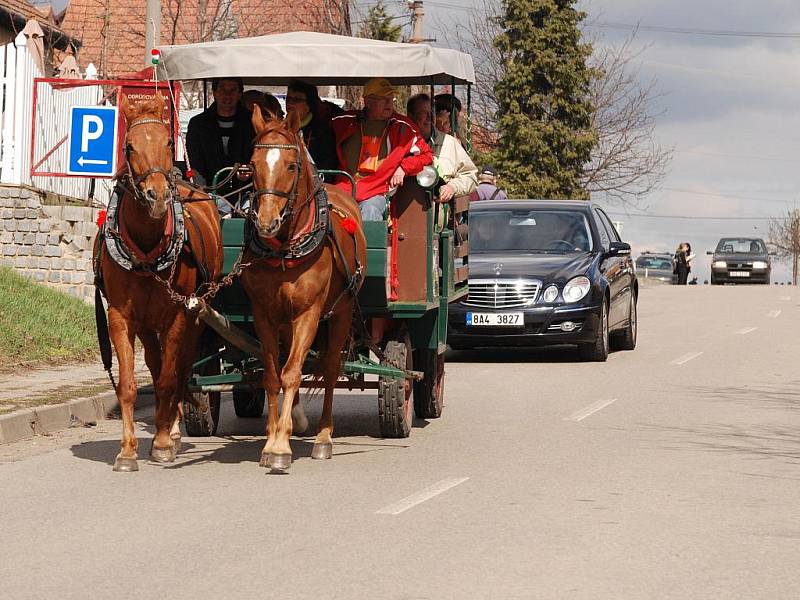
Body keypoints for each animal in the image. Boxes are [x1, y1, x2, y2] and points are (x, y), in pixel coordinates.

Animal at [95, 94, 223, 472]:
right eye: (128, 145)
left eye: (168, 141)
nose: (157, 195)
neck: (147, 253)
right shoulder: (120, 317)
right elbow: (127, 384)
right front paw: (127, 451)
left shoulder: (180, 315)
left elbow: (169, 379)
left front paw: (164, 442)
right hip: (148, 324)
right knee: (156, 362)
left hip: (196, 316)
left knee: (180, 368)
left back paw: (173, 429)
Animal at [244, 106, 368, 474]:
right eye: (252, 164)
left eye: (290, 165)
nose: (266, 222)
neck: (286, 250)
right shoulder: (265, 314)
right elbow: (274, 375)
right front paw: (272, 438)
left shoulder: (309, 314)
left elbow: (294, 373)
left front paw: (281, 446)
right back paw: (297, 419)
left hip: (340, 313)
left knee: (329, 369)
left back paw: (324, 436)